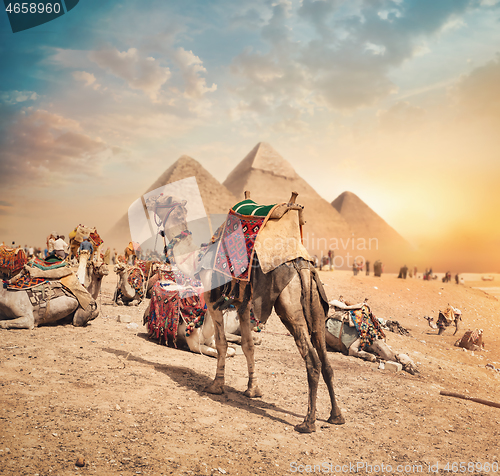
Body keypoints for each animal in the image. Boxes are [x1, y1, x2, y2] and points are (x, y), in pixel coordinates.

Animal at [146, 192, 346, 434]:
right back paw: (336, 416)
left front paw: (216, 385)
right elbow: (248, 346)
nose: (148, 200)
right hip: (317, 306)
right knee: (326, 361)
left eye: (163, 198)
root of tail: (303, 268)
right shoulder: (243, 304)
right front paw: (253, 389)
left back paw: (308, 422)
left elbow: (222, 344)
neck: (196, 260)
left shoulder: (212, 301)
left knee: (313, 361)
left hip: (289, 308)